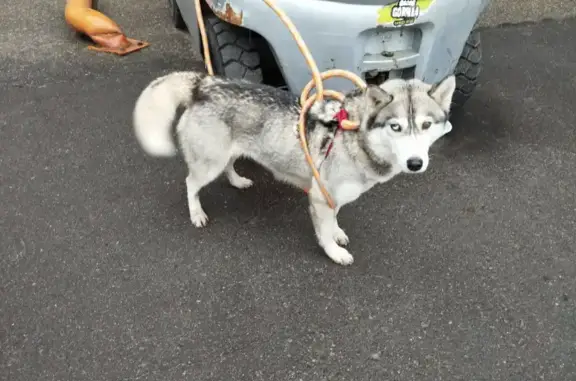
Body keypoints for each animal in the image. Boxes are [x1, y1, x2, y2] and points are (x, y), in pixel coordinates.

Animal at [134, 71, 454, 264]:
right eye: (395, 127)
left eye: (426, 125)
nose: (415, 163)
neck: (353, 136)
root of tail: (203, 84)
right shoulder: (320, 196)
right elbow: (324, 232)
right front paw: (335, 251)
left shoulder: (333, 195)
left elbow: (334, 220)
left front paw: (337, 232)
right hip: (208, 163)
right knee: (191, 184)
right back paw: (197, 213)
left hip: (226, 153)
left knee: (229, 166)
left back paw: (237, 180)